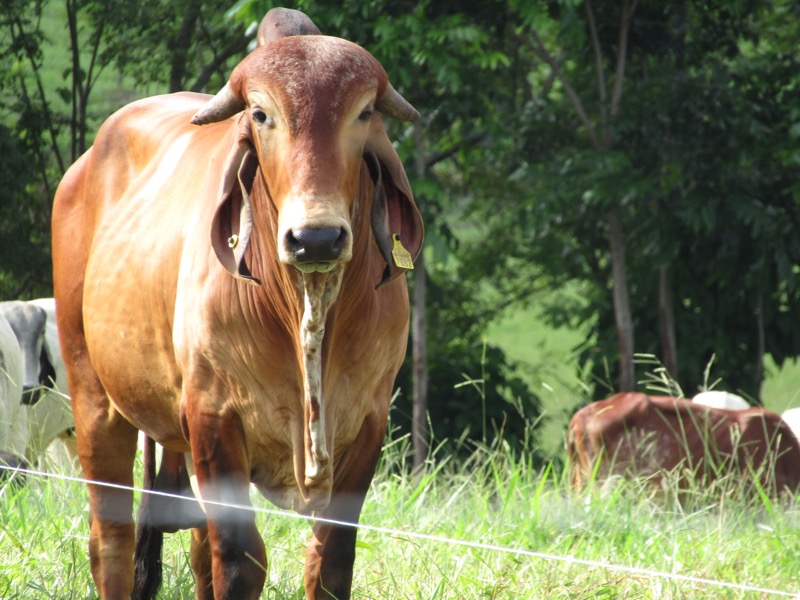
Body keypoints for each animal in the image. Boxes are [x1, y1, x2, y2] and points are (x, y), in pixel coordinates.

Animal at [49, 5, 422, 600]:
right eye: (261, 114)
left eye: (364, 112)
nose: (316, 238)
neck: (306, 310)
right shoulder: (214, 417)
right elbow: (242, 560)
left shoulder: (367, 422)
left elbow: (329, 563)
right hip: (93, 393)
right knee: (111, 539)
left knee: (196, 547)